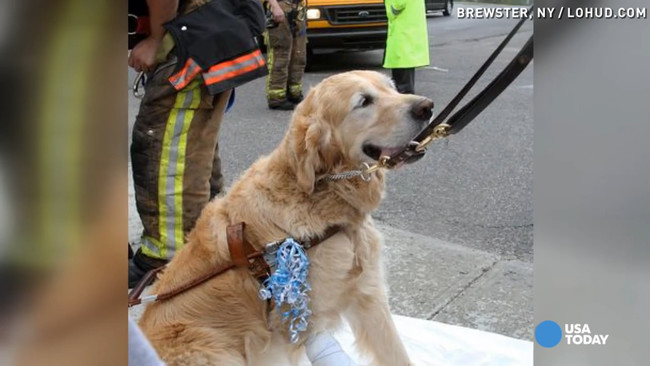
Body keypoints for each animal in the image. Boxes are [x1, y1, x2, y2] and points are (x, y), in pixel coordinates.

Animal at [137, 70, 430, 364]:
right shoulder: (301, 324)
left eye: (391, 87)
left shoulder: (369, 295)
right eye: (364, 101)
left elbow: (397, 354)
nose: (427, 107)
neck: (324, 194)